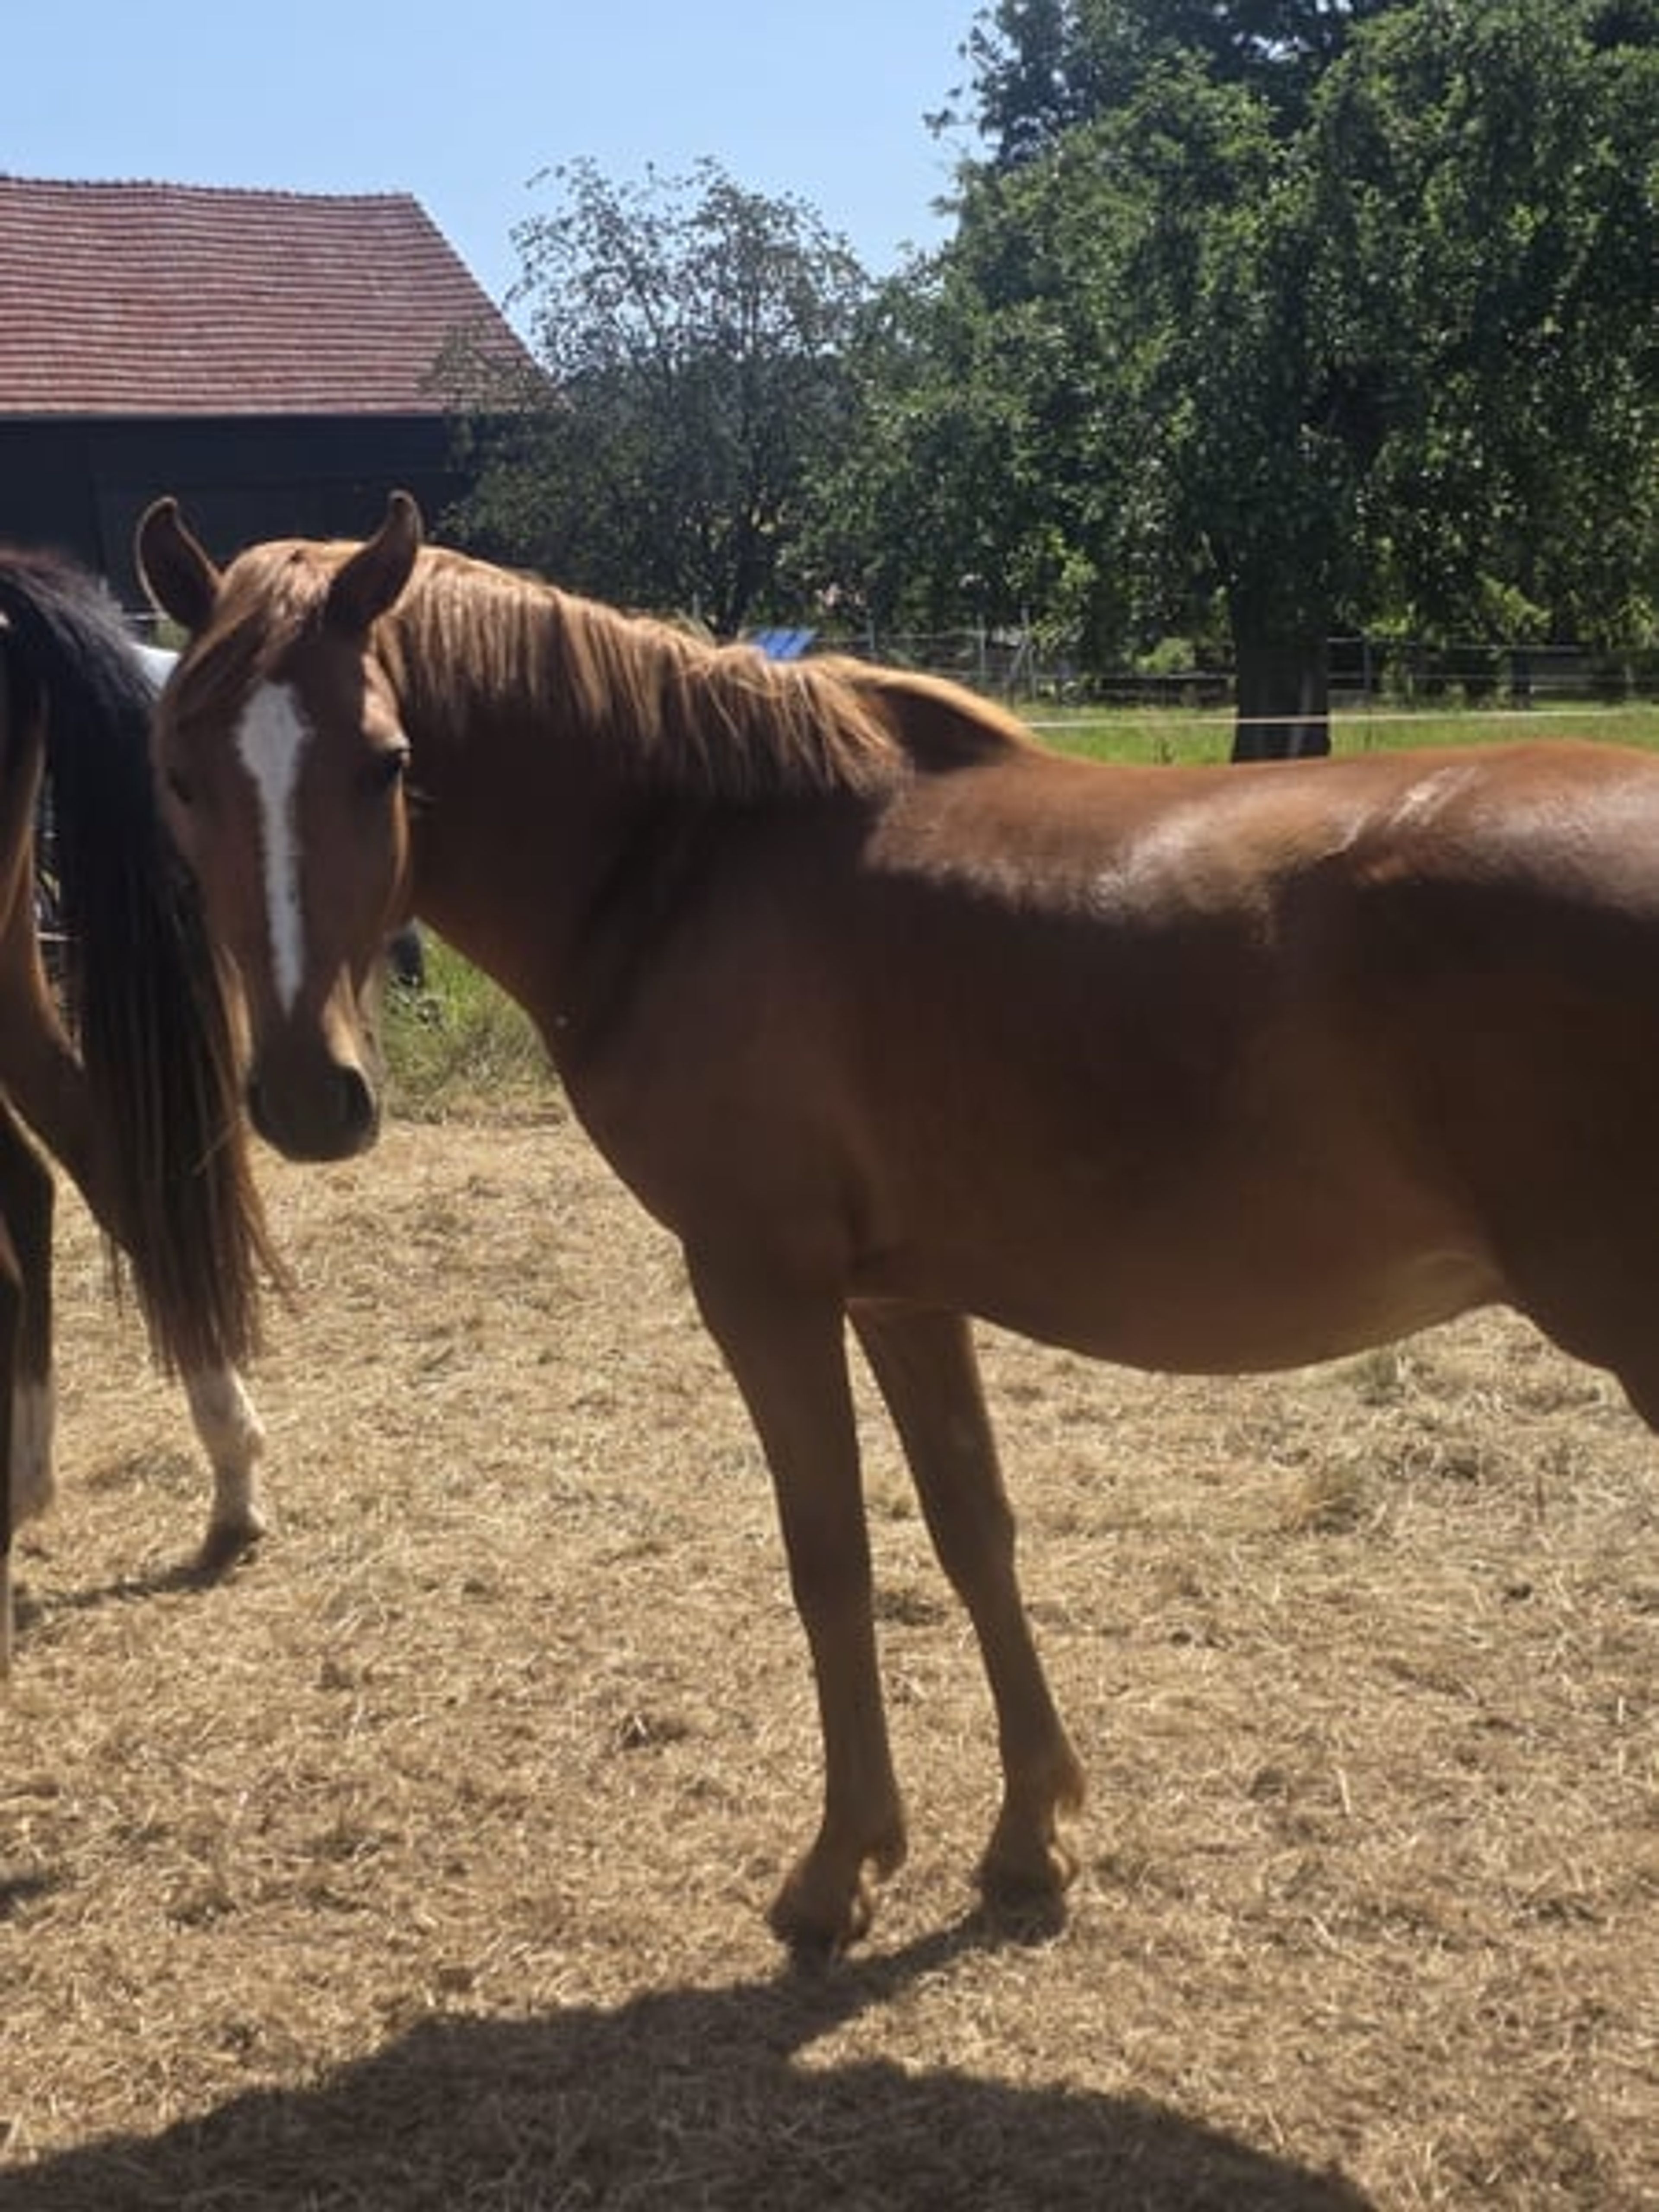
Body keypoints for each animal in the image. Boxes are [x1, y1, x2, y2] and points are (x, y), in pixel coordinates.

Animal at [137, 489, 1659, 1954]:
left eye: (385, 762)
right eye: (180, 774)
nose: (307, 1098)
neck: (691, 860)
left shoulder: (762, 1288)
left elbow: (831, 1558)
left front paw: (837, 1868)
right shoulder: (905, 1295)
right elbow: (970, 1529)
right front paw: (1028, 1835)